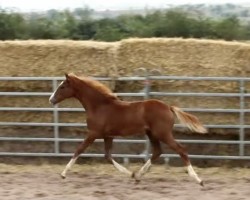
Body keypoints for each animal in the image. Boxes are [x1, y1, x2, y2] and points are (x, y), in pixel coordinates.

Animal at [49, 73, 207, 186]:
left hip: (163, 134)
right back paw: (138, 176)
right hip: (152, 134)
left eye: (62, 87)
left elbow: (79, 150)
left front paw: (63, 174)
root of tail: (168, 107)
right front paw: (131, 174)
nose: (51, 100)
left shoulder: (93, 133)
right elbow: (108, 156)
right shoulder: (108, 136)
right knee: (157, 152)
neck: (99, 106)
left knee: (181, 150)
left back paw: (198, 180)